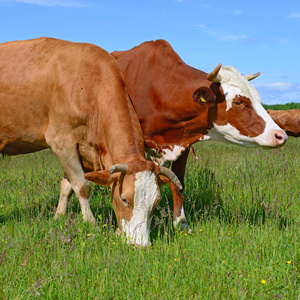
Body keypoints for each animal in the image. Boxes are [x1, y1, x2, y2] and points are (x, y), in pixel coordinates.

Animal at [0, 37, 180, 246]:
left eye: (156, 202)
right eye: (124, 199)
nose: (140, 245)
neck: (88, 83)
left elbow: (67, 186)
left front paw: (58, 217)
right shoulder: (61, 141)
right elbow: (82, 186)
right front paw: (90, 223)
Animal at [109, 39, 286, 231]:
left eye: (258, 99)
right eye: (239, 101)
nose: (280, 135)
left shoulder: (183, 143)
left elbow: (177, 183)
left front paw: (180, 223)